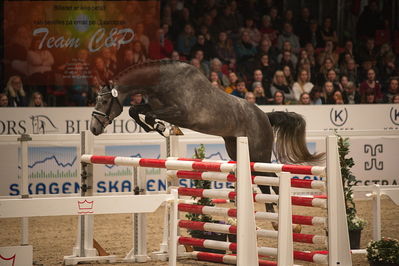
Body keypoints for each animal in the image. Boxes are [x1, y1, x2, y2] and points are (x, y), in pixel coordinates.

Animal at [89, 59, 324, 216]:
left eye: (104, 102)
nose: (93, 129)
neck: (161, 80)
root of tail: (264, 116)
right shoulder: (154, 105)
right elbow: (135, 111)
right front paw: (157, 128)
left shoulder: (180, 113)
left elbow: (147, 114)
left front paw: (161, 127)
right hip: (238, 150)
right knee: (265, 183)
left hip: (259, 155)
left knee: (271, 180)